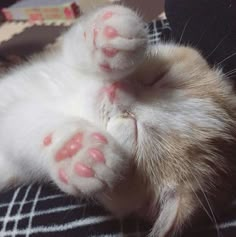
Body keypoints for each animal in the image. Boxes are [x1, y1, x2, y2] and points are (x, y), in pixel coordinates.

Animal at [0, 3, 236, 237]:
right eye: (159, 78)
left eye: (135, 130)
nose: (115, 89)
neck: (77, 96)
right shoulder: (57, 60)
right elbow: (70, 45)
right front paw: (107, 30)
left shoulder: (15, 164)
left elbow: (20, 133)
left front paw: (76, 149)